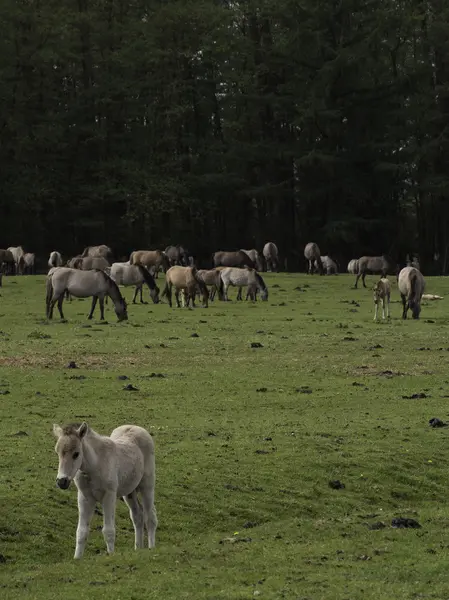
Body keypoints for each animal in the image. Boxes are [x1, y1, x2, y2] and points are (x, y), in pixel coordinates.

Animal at [52, 422, 157, 556]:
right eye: (57, 452)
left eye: (76, 454)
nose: (62, 481)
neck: (95, 465)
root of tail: (136, 427)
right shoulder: (84, 497)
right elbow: (81, 532)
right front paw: (77, 558)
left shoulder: (109, 496)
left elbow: (108, 530)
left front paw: (111, 556)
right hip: (130, 492)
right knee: (137, 516)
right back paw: (138, 548)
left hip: (147, 486)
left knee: (150, 517)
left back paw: (151, 548)